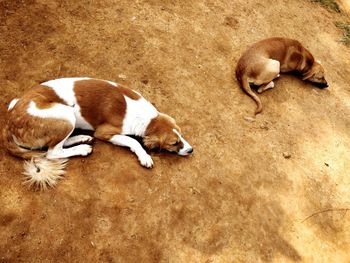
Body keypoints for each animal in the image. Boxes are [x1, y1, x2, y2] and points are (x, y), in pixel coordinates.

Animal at [2, 77, 193, 191]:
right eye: (173, 143)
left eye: (181, 135)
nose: (191, 150)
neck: (147, 118)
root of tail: (9, 123)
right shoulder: (105, 132)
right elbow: (134, 142)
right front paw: (144, 156)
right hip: (66, 115)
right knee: (52, 152)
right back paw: (82, 149)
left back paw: (81, 138)